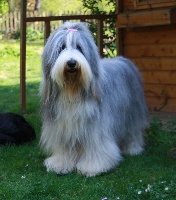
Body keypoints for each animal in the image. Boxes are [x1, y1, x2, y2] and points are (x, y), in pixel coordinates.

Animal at [40, 21, 148, 177]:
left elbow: (96, 146)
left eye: (79, 47)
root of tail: (123, 60)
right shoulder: (63, 126)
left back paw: (133, 148)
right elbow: (65, 148)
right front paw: (60, 164)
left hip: (132, 112)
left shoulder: (96, 127)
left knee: (133, 130)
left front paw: (92, 167)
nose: (71, 63)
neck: (73, 90)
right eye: (62, 47)